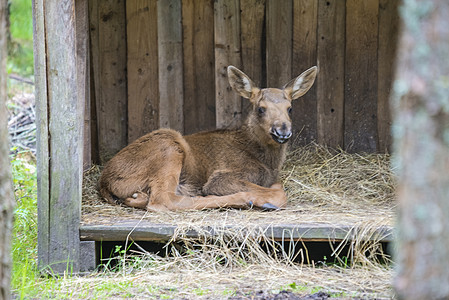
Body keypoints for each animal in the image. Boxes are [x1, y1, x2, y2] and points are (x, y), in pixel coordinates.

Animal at [100, 65, 316, 211]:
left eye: (290, 108)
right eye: (260, 108)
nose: (282, 132)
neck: (266, 162)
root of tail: (104, 181)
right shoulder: (222, 175)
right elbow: (280, 192)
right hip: (168, 146)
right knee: (163, 200)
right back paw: (248, 200)